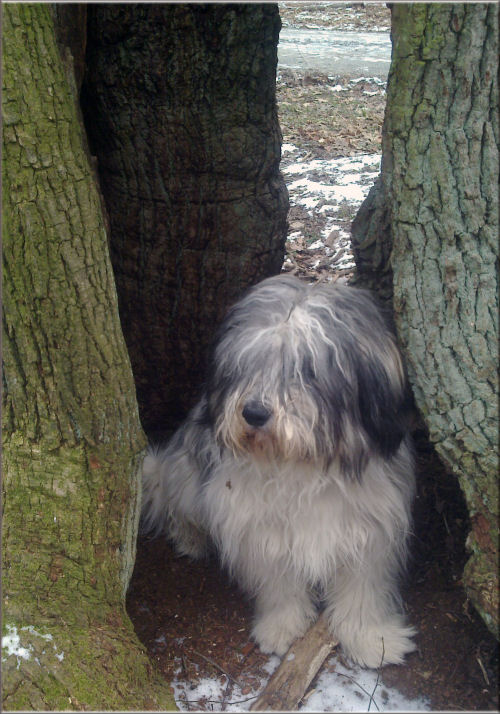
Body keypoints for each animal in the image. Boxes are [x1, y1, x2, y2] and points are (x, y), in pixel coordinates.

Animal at [142, 274, 418, 668]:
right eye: (248, 365)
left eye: (307, 370)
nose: (254, 413)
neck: (303, 465)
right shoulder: (261, 528)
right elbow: (279, 584)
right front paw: (282, 627)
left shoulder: (369, 531)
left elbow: (363, 590)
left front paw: (372, 639)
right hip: (186, 474)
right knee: (176, 506)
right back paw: (190, 538)